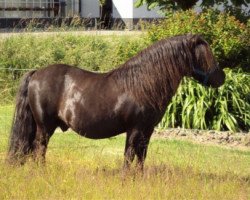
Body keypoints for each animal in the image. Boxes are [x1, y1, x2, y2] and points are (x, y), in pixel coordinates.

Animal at [7, 33, 227, 170]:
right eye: (205, 53)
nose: (222, 78)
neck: (143, 84)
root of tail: (36, 73)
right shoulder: (135, 129)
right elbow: (129, 155)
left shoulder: (147, 131)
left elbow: (141, 156)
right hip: (45, 127)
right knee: (38, 149)